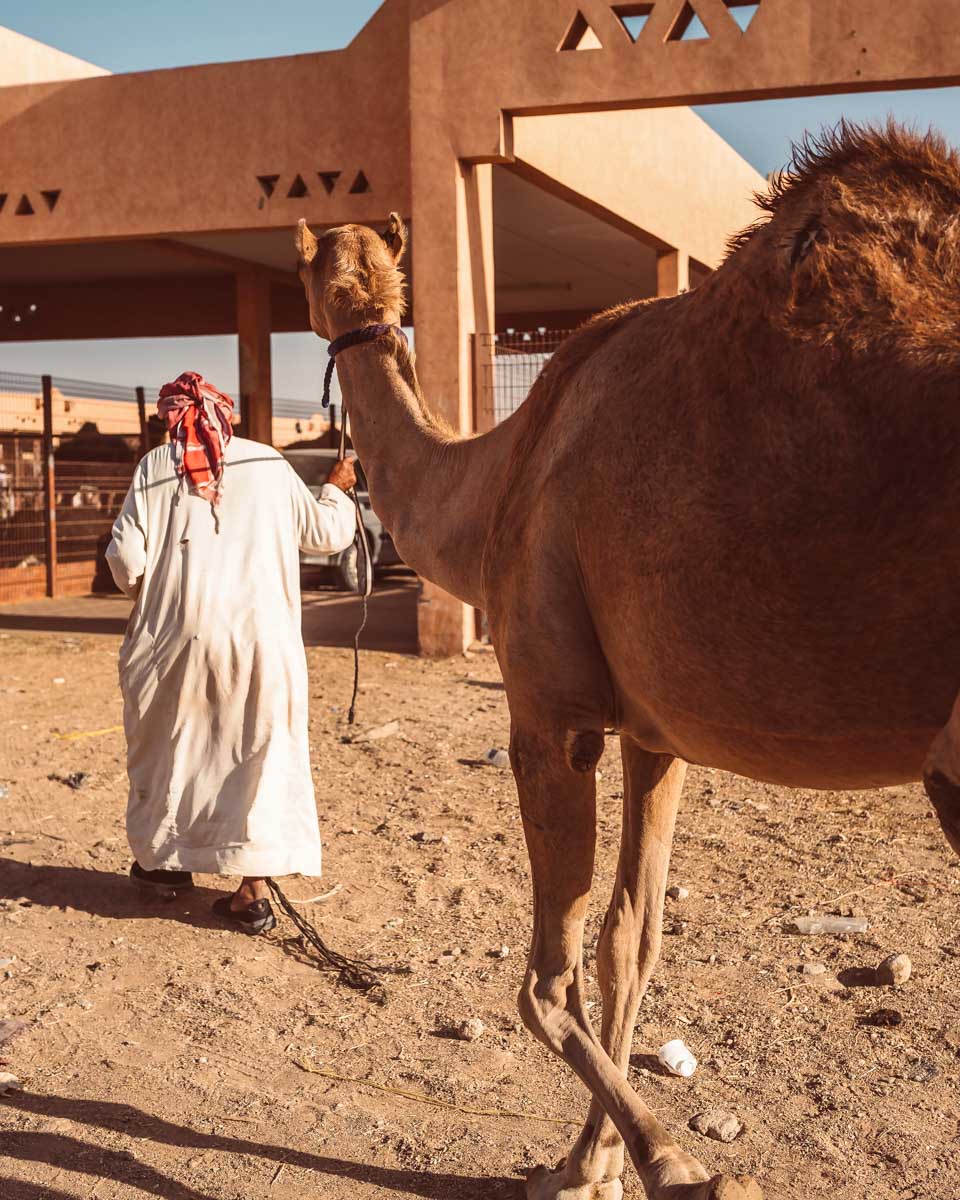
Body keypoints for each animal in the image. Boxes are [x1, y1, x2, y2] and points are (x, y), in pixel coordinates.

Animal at [295, 121, 960, 1200]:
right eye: (342, 270)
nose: (345, 307)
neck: (499, 475)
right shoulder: (658, 733)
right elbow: (629, 944)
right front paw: (588, 1162)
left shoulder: (550, 712)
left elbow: (543, 979)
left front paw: (671, 1164)